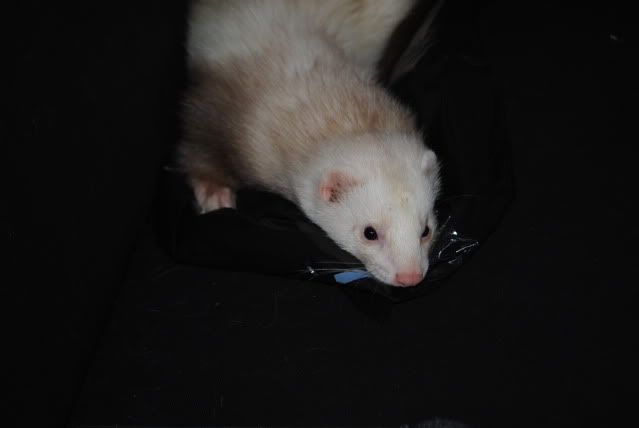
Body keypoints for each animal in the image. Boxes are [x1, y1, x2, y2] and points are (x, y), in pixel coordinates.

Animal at [179, 0, 441, 287]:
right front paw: (214, 192)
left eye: (426, 229)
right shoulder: (214, 105)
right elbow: (196, 148)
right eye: (369, 232)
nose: (410, 277)